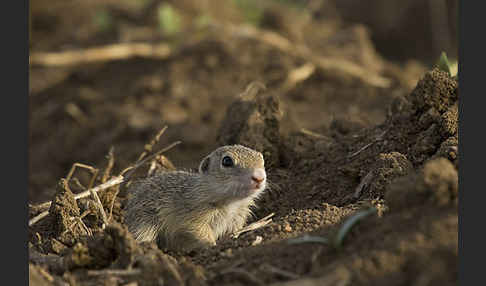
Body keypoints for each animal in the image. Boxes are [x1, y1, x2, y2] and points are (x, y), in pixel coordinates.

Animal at [121, 145, 266, 250]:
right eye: (227, 161)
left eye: (262, 160)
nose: (259, 177)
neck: (231, 203)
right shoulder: (194, 215)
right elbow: (199, 230)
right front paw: (213, 245)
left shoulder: (238, 217)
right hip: (145, 222)